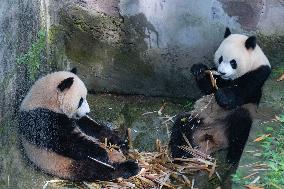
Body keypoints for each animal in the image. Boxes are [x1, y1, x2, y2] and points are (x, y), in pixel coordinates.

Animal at [170, 27, 272, 163]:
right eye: (220, 58)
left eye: (233, 62)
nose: (223, 72)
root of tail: (214, 137)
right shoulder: (219, 78)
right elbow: (209, 88)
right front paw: (199, 70)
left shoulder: (259, 73)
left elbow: (242, 91)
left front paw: (223, 96)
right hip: (199, 118)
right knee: (181, 126)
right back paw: (181, 155)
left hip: (238, 115)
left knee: (241, 126)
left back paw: (232, 158)